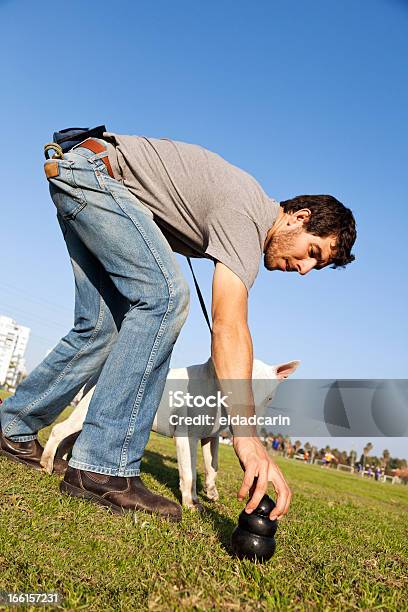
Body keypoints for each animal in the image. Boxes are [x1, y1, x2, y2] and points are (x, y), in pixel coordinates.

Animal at [41, 358, 298, 506]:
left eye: (269, 398)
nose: (250, 420)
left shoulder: (211, 437)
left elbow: (212, 466)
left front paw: (211, 492)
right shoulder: (186, 437)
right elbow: (189, 472)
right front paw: (190, 503)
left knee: (72, 439)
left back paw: (63, 464)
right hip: (86, 410)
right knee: (59, 431)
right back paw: (47, 464)